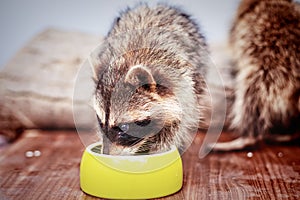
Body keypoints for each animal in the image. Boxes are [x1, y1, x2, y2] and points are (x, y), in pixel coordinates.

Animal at [91, 4, 211, 155]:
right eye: (100, 122)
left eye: (124, 127)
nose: (105, 154)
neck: (128, 61)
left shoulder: (181, 85)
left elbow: (177, 124)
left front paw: (159, 149)